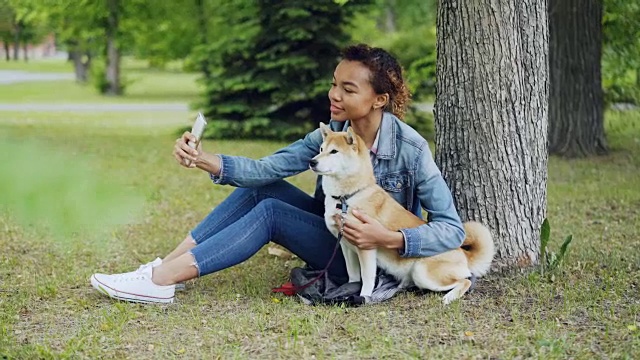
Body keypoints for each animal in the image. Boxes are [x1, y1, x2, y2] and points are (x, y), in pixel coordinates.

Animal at [310, 124, 496, 304]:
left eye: (334, 151)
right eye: (321, 149)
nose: (312, 162)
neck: (347, 197)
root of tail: (464, 253)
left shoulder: (366, 246)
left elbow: (367, 278)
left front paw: (363, 296)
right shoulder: (345, 245)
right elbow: (353, 275)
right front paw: (349, 289)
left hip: (422, 272)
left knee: (466, 281)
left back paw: (449, 297)